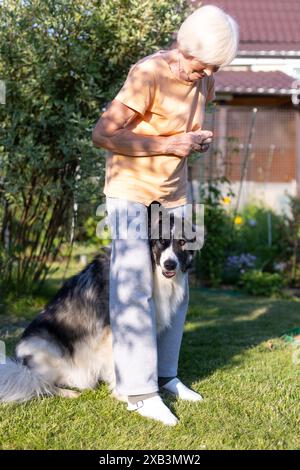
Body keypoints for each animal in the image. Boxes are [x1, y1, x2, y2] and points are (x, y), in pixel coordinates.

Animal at [0, 200, 197, 402]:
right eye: (161, 241)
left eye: (182, 242)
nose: (170, 265)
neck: (152, 271)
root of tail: (22, 364)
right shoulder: (114, 330)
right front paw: (124, 394)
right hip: (45, 347)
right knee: (37, 382)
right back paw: (67, 392)